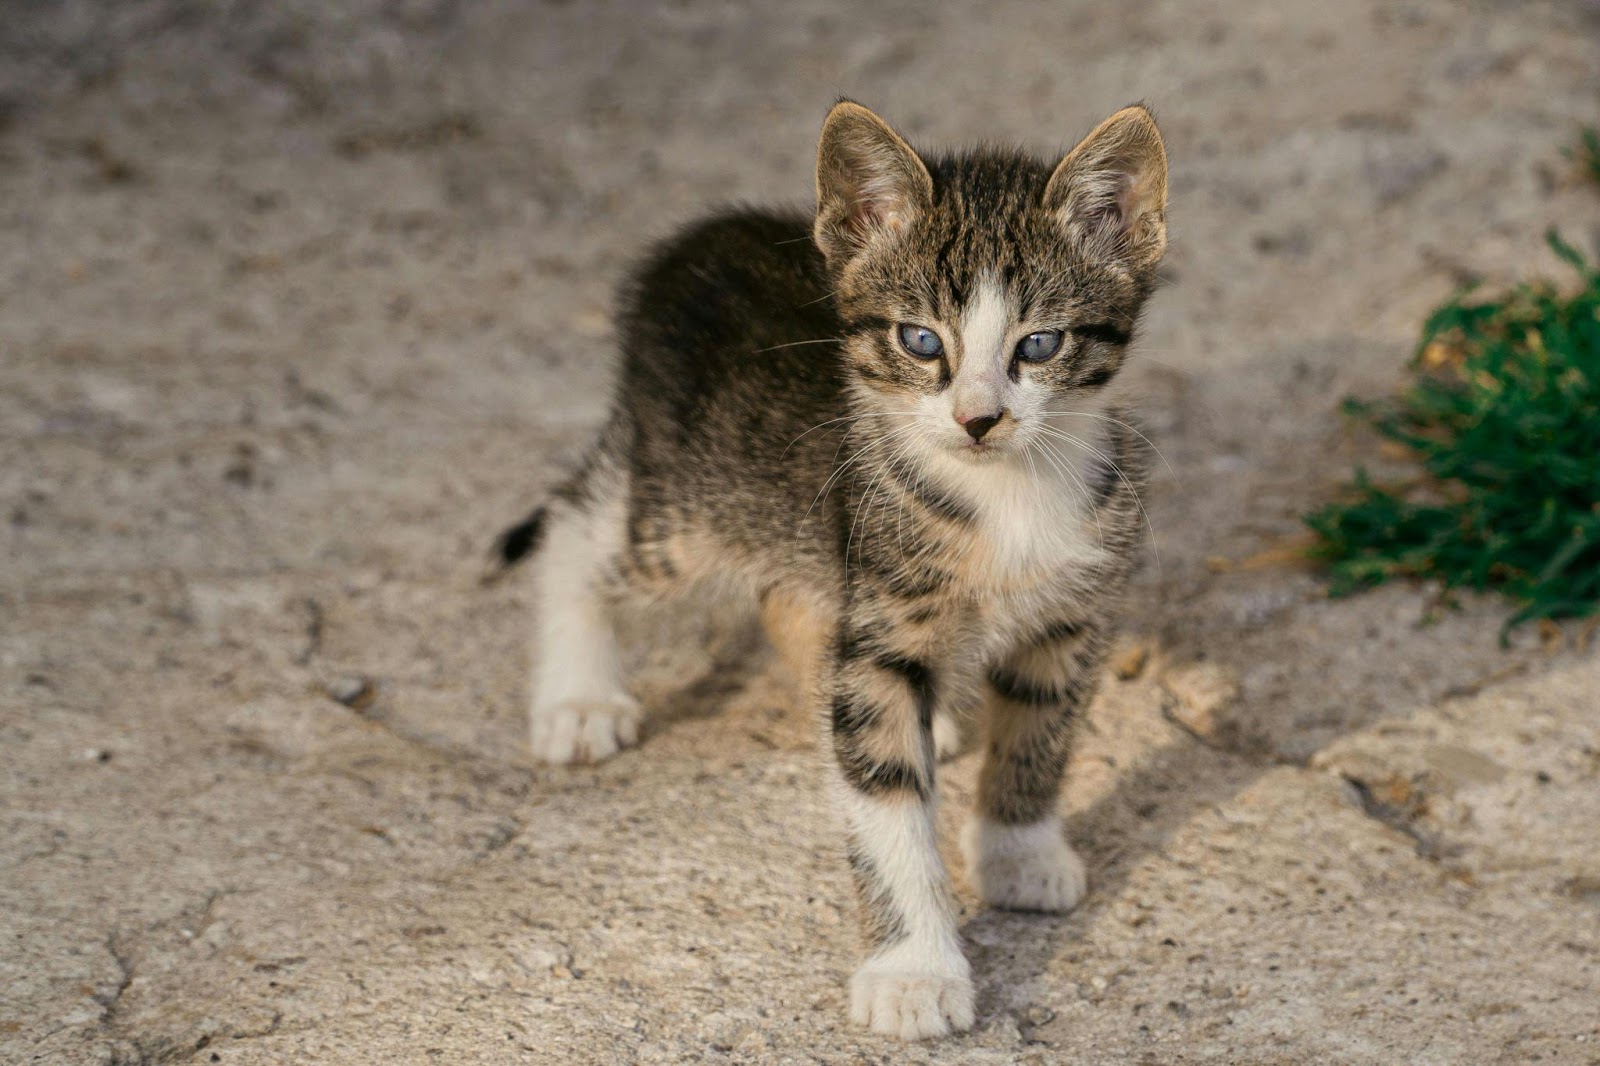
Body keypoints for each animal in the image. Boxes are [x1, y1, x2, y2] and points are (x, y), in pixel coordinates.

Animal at [505, 101, 1171, 1037]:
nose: (977, 420)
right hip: (689, 505)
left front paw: (1019, 851)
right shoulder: (880, 634)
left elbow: (1040, 731)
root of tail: (708, 235)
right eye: (920, 340)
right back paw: (578, 700)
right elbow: (885, 798)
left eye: (1039, 344)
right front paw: (913, 972)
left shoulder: (1070, 614)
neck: (1004, 495)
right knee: (575, 526)